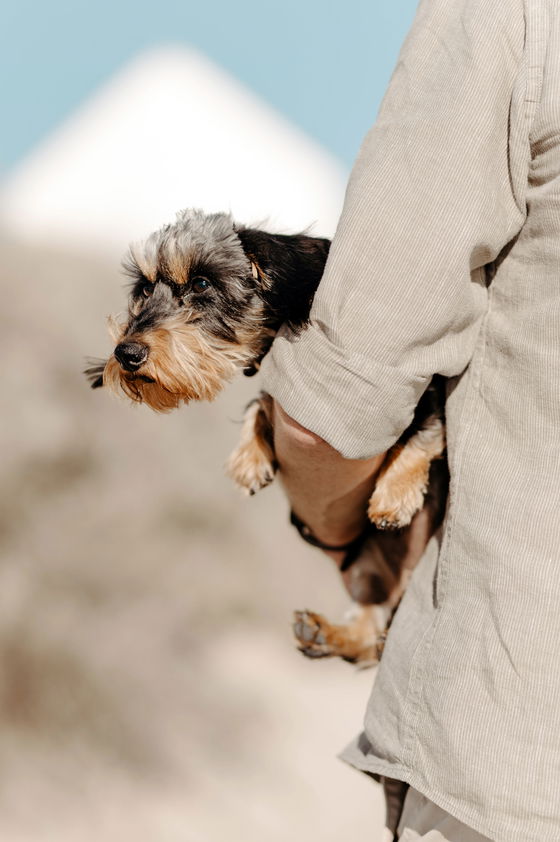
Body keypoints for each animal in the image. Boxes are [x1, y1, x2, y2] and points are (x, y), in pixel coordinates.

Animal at [86, 208, 446, 664]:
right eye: (146, 288)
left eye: (201, 284)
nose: (126, 354)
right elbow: (262, 402)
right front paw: (250, 456)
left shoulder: (427, 388)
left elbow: (423, 431)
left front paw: (394, 496)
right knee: (370, 629)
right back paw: (325, 633)